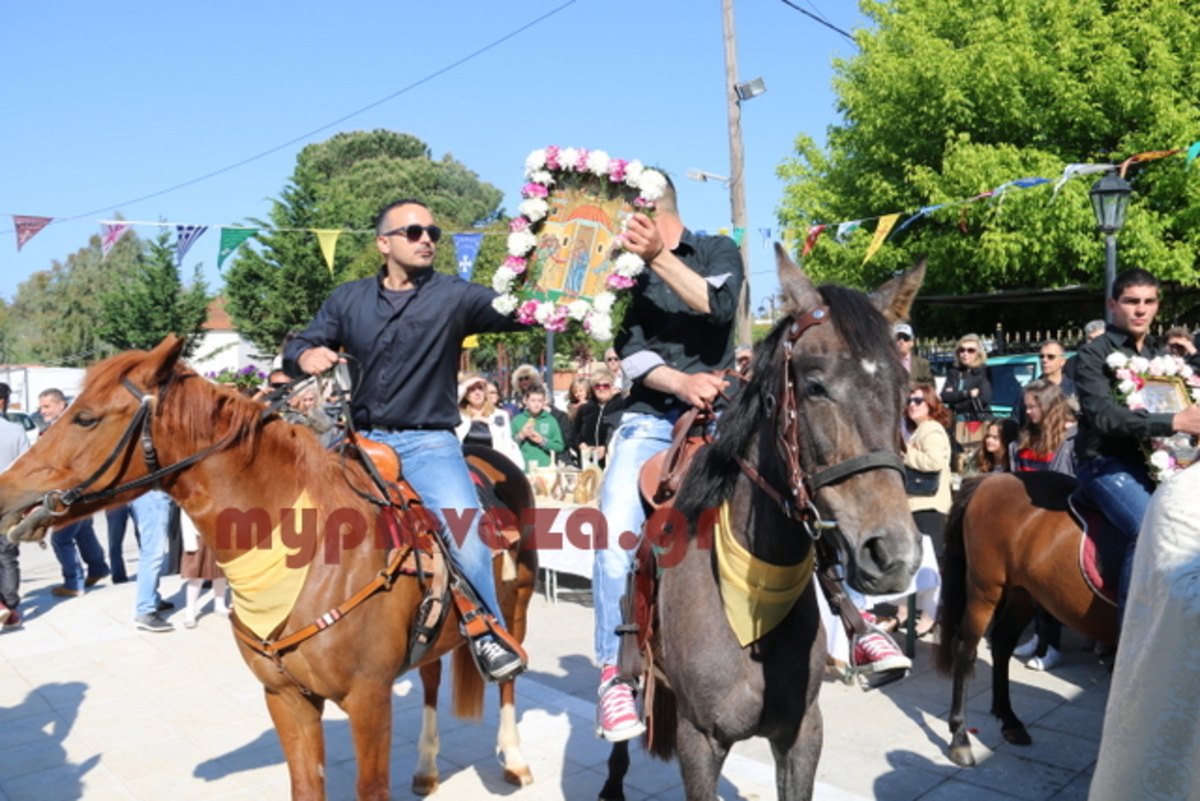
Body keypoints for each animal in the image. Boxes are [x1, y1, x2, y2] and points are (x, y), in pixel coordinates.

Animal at [0, 335, 537, 796]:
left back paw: (514, 759)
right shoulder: (286, 698)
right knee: (430, 678)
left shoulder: (369, 699)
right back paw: (426, 768)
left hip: (517, 605)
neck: (311, 556)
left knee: (509, 678)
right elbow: (305, 785)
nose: (6, 491)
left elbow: (371, 787)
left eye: (85, 418)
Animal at [600, 244, 926, 801]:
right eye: (814, 385)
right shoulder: (699, 742)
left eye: (905, 390)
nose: (893, 555)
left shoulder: (801, 733)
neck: (749, 605)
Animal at [931, 472, 1118, 767]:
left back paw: (1009, 720)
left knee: (1001, 642)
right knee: (964, 648)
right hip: (985, 589)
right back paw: (960, 737)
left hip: (1022, 592)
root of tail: (990, 478)